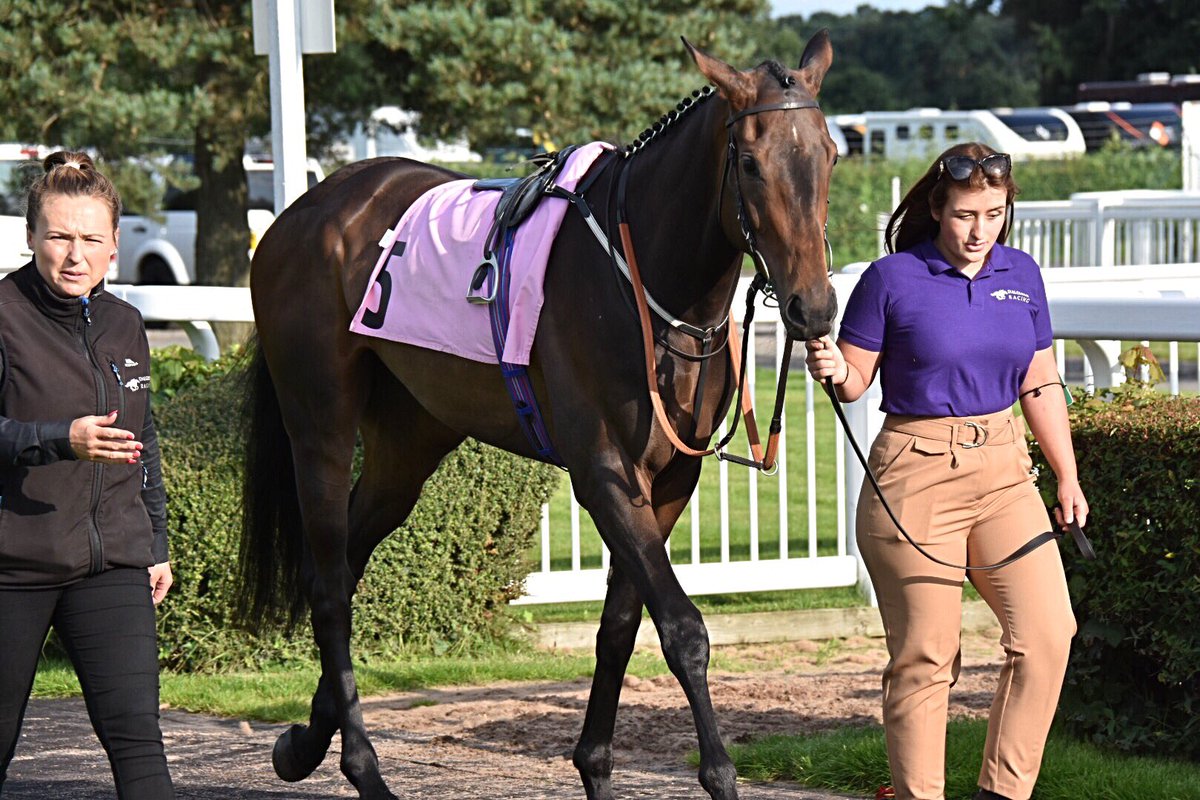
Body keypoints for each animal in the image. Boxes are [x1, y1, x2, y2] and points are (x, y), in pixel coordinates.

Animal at [239, 32, 838, 800]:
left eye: (828, 154)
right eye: (753, 163)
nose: (813, 308)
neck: (643, 282)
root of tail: (303, 211)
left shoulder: (671, 481)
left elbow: (621, 624)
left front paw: (596, 766)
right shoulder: (605, 473)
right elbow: (682, 629)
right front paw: (719, 774)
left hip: (409, 442)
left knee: (343, 567)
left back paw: (306, 742)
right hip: (320, 425)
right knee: (328, 588)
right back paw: (363, 767)